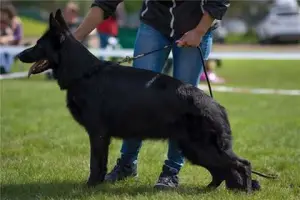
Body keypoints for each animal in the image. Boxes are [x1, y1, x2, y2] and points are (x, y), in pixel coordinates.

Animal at [17, 9, 268, 194]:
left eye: (38, 44)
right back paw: (208, 189)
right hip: (195, 149)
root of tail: (217, 106)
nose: (19, 55)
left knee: (242, 164)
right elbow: (101, 163)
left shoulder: (98, 135)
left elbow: (95, 163)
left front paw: (90, 187)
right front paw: (98, 185)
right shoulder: (102, 136)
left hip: (203, 147)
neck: (84, 73)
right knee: (220, 171)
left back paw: (244, 190)